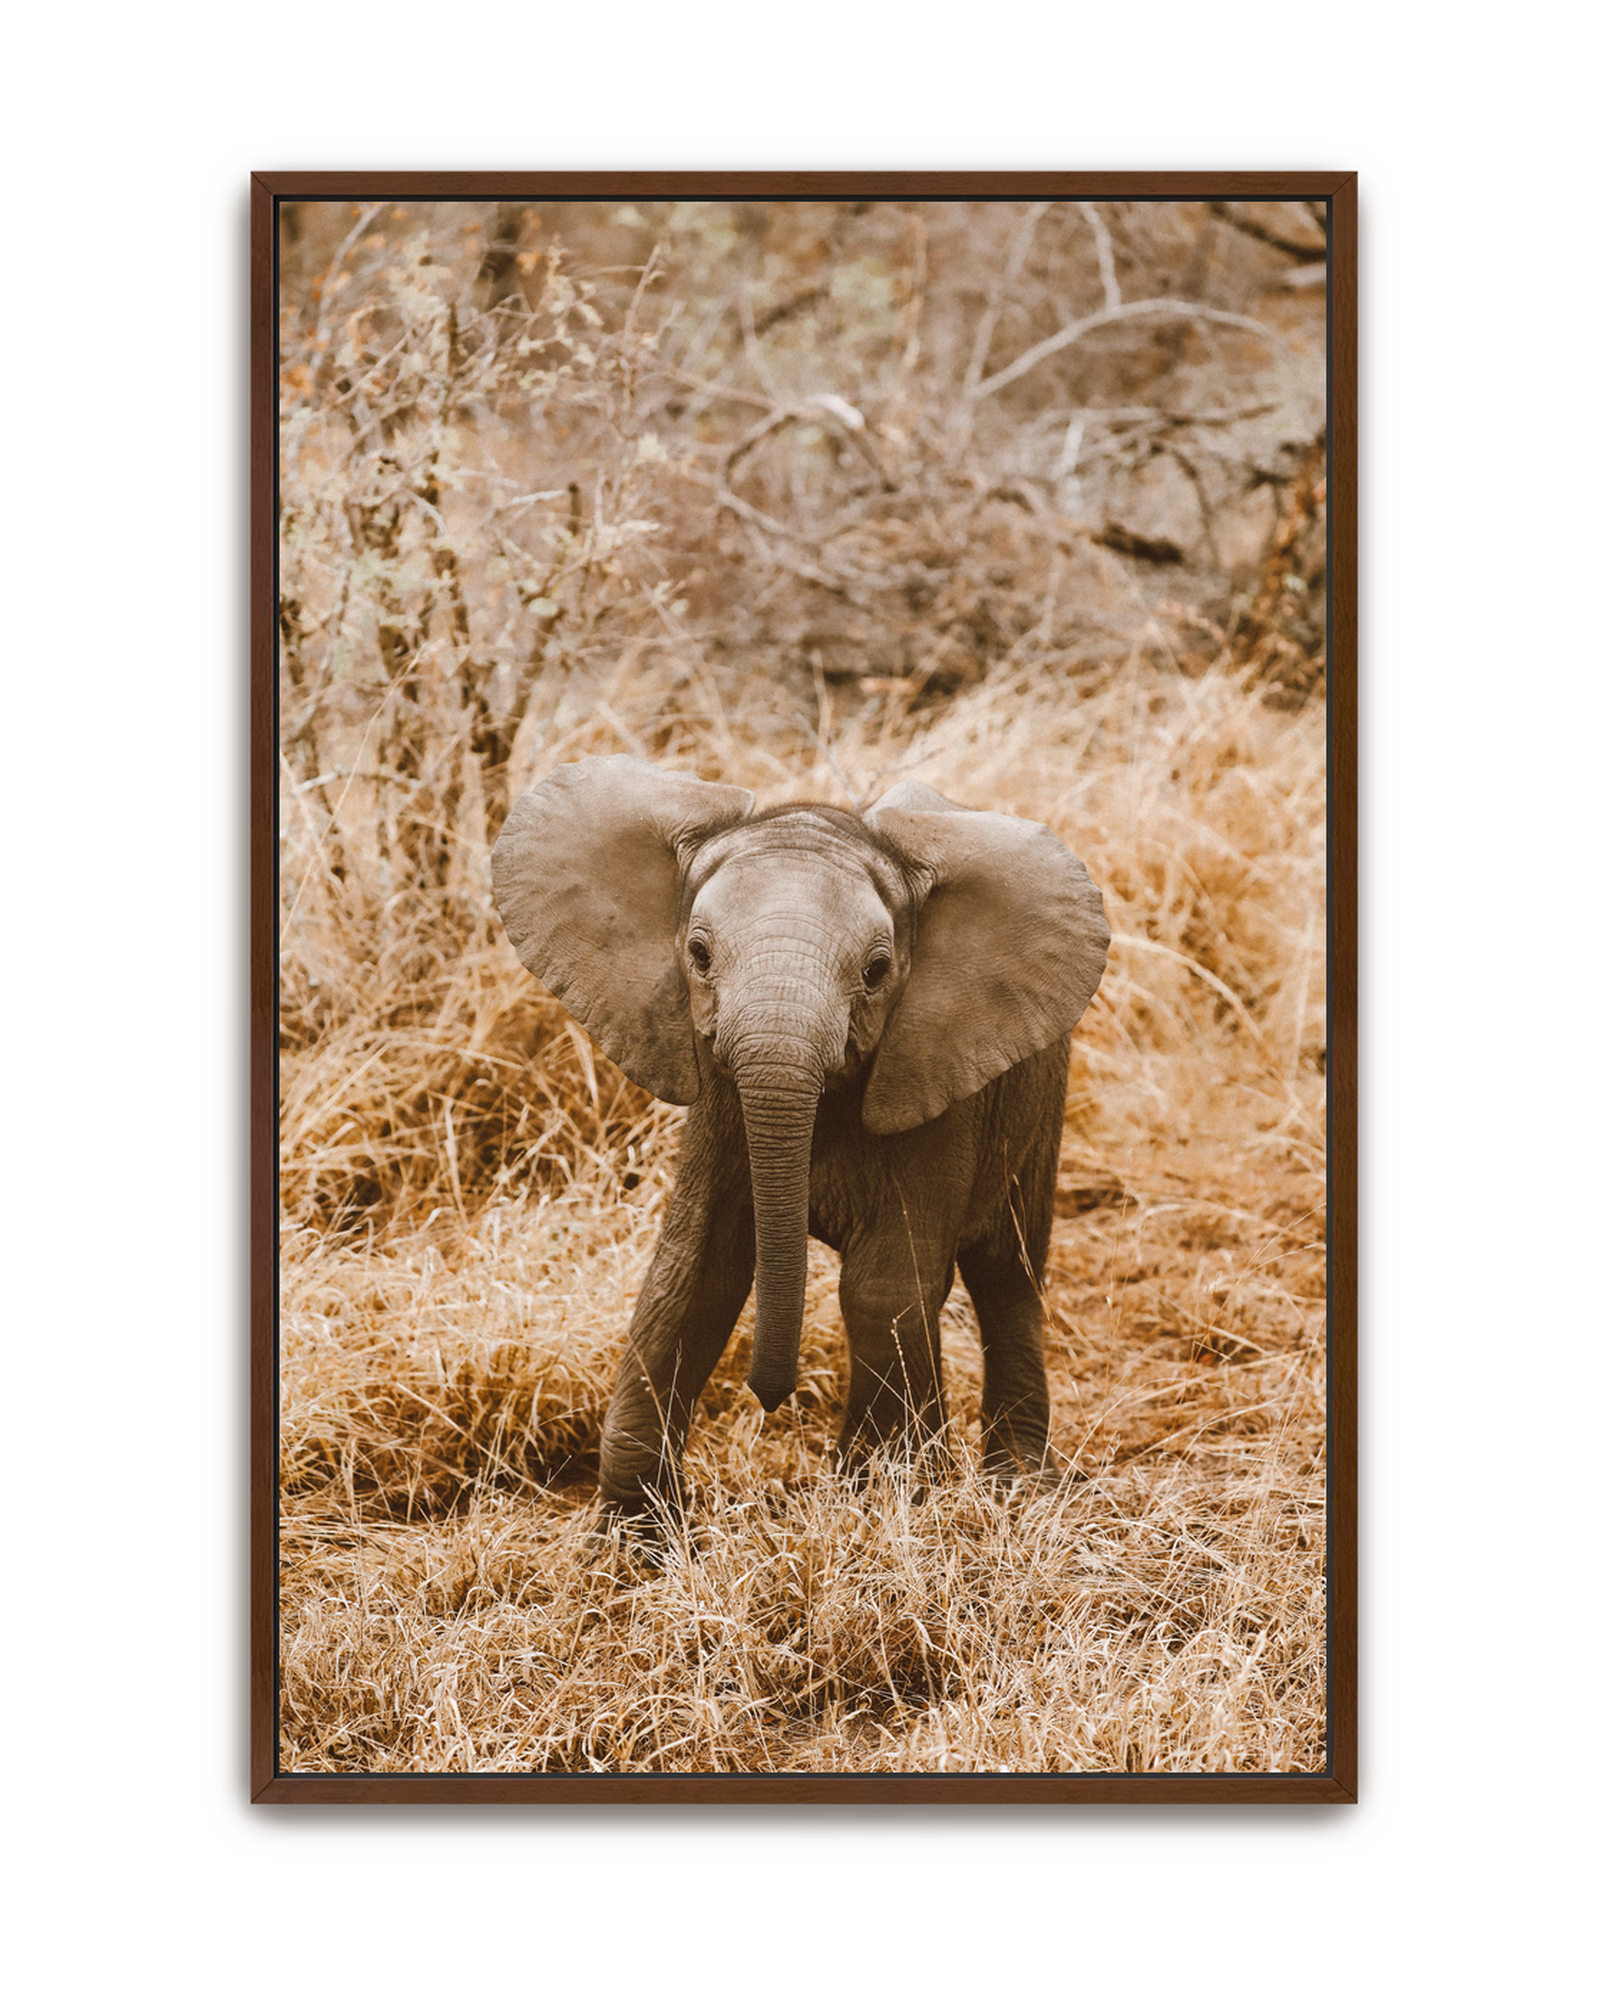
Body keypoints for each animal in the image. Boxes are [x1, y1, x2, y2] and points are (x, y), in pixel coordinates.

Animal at [491, 754, 1110, 1526]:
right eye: (698, 955)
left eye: (876, 972)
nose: (770, 1399)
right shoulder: (721, 1097)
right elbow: (694, 1272)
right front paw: (636, 1538)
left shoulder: (934, 1075)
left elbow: (884, 1283)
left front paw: (882, 1498)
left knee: (1009, 1273)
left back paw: (1020, 1485)